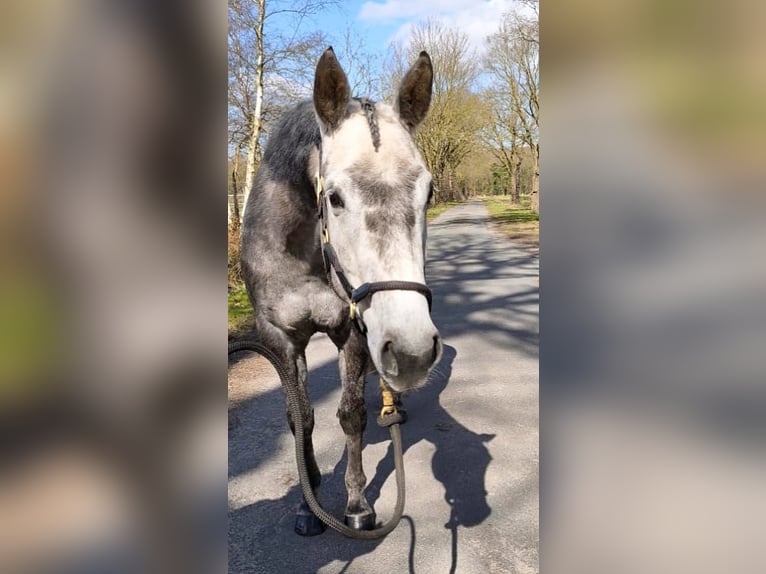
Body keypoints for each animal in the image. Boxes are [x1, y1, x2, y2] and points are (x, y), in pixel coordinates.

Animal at [240, 47, 441, 536]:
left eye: (428, 193)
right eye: (334, 197)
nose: (411, 352)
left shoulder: (351, 331)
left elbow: (351, 415)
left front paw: (356, 504)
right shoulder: (281, 339)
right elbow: (300, 419)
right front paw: (307, 501)